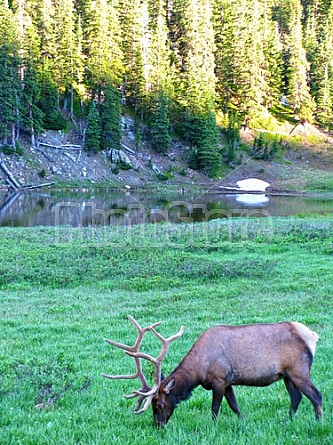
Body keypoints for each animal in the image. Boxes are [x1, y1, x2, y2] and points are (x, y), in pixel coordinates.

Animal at [101, 314, 322, 424]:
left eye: (160, 405)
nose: (157, 426)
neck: (199, 371)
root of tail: (312, 335)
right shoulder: (228, 381)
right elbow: (234, 405)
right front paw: (242, 421)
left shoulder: (219, 378)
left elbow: (215, 407)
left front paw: (213, 426)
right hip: (286, 374)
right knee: (296, 397)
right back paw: (288, 420)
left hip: (299, 370)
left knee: (315, 395)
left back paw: (318, 422)